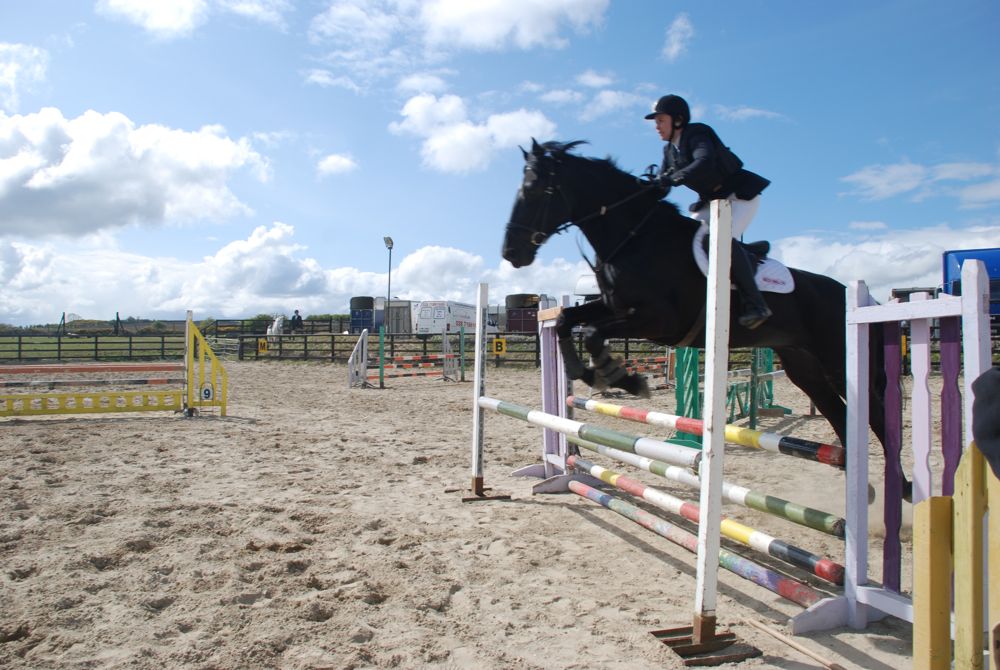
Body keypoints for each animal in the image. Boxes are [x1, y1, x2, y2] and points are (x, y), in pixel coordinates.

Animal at [502, 139, 888, 465]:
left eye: (534, 190)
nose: (511, 253)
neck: (635, 237)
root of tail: (854, 294)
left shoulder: (658, 321)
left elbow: (594, 333)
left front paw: (623, 378)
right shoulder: (614, 306)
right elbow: (567, 320)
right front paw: (586, 373)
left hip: (837, 359)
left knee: (875, 418)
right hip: (803, 365)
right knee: (839, 414)